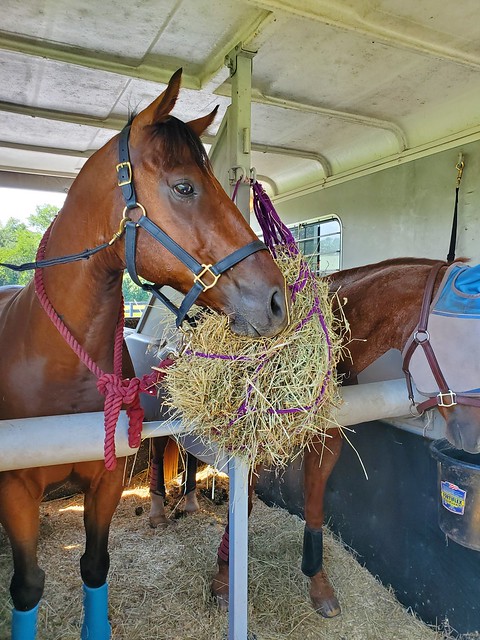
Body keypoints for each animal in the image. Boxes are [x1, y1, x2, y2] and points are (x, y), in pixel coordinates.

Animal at [0, 68, 289, 639]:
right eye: (184, 187)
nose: (274, 298)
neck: (56, 364)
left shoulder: (107, 480)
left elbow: (95, 566)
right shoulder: (16, 490)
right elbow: (27, 587)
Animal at [211, 257, 480, 618]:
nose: (474, 438)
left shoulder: (327, 441)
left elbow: (314, 509)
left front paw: (319, 585)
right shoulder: (251, 444)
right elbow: (245, 505)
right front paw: (225, 578)